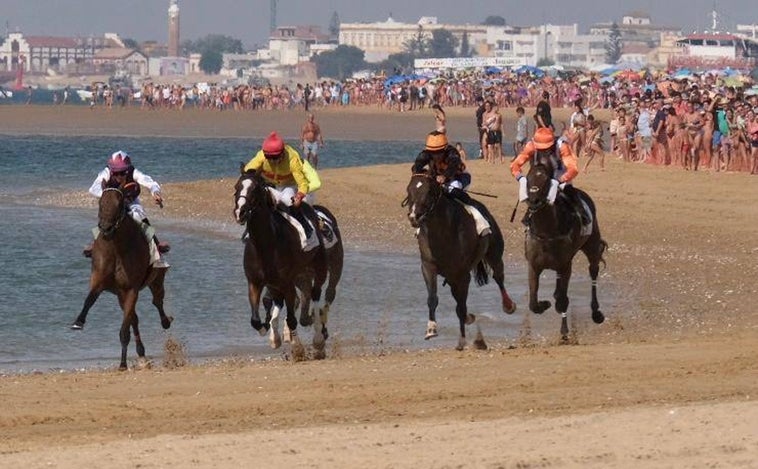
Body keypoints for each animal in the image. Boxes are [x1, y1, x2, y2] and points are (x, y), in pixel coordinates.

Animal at [71, 183, 172, 370]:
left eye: (119, 204)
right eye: (100, 203)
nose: (105, 228)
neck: (116, 247)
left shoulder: (132, 288)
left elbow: (124, 330)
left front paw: (123, 363)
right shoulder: (100, 282)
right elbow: (89, 299)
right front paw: (78, 321)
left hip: (156, 279)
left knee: (157, 301)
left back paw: (165, 322)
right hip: (120, 295)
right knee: (134, 318)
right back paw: (141, 352)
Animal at [233, 168, 332, 358]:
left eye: (255, 189)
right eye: (236, 187)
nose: (240, 212)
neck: (265, 244)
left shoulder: (286, 281)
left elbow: (292, 318)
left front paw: (297, 347)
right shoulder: (255, 282)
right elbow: (255, 320)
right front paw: (268, 330)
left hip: (319, 267)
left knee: (315, 295)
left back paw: (317, 340)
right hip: (280, 281)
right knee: (281, 300)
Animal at [404, 173, 516, 352]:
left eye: (429, 192)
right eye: (409, 190)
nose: (414, 217)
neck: (442, 233)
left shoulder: (462, 274)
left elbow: (461, 307)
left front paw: (462, 340)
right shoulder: (428, 267)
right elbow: (433, 298)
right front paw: (431, 329)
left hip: (494, 254)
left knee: (499, 276)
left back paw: (508, 305)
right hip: (451, 277)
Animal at [524, 152, 608, 342]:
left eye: (546, 180)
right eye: (528, 178)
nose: (534, 201)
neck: (546, 232)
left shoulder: (565, 265)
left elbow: (563, 300)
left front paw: (564, 331)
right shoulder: (533, 266)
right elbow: (533, 303)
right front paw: (545, 304)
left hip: (591, 246)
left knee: (593, 271)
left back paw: (596, 312)